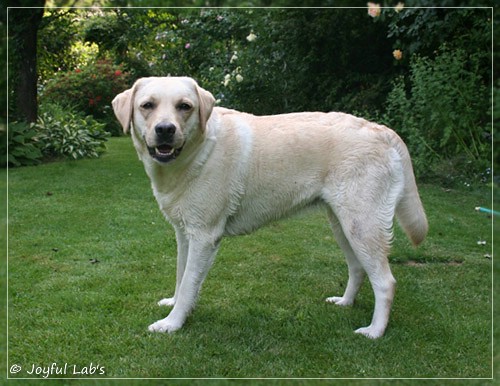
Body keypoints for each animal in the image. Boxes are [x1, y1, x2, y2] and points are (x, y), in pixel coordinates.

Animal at [112, 77, 426, 340]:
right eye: (147, 106)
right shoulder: (184, 233)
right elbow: (181, 275)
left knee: (385, 282)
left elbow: (190, 281)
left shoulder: (204, 236)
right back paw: (345, 302)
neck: (195, 152)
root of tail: (382, 130)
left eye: (185, 107)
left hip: (362, 226)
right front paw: (176, 304)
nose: (165, 130)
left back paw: (375, 331)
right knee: (358, 268)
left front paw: (172, 323)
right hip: (342, 225)